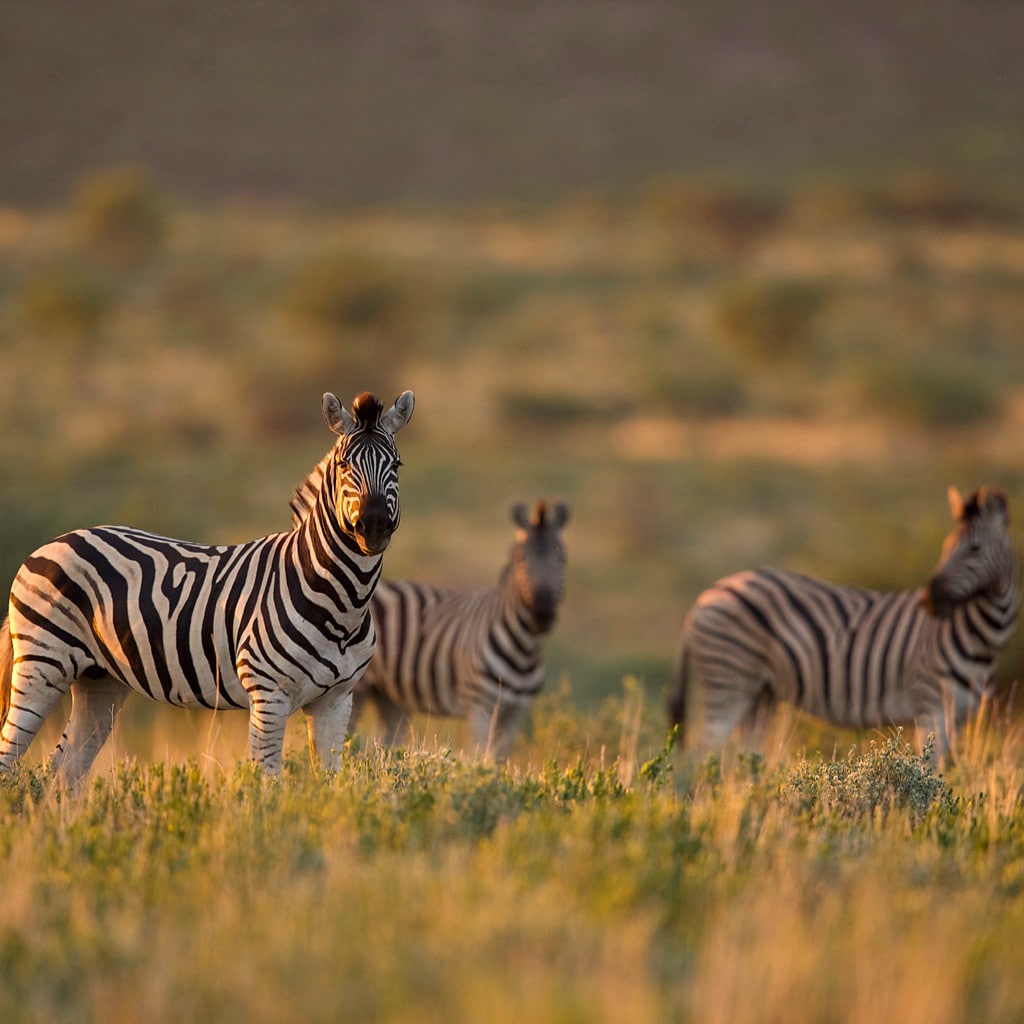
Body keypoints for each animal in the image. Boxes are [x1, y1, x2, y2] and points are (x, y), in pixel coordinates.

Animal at [0, 389, 414, 783]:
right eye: (344, 465)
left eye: (396, 465)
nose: (374, 526)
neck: (343, 601)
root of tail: (52, 543)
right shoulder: (268, 695)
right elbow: (270, 784)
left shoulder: (337, 700)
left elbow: (330, 783)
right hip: (42, 663)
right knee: (10, 759)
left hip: (99, 679)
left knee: (63, 771)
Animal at [290, 482, 569, 758]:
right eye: (519, 560)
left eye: (562, 560)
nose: (542, 614)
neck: (525, 649)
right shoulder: (481, 705)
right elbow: (481, 758)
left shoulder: (516, 711)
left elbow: (498, 761)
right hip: (359, 690)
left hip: (390, 698)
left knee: (385, 744)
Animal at [668, 486, 1020, 760]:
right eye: (947, 546)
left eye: (974, 549)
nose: (928, 601)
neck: (984, 637)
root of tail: (704, 598)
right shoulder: (930, 706)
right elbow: (929, 770)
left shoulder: (960, 715)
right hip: (728, 679)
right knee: (702, 755)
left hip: (759, 695)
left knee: (741, 760)